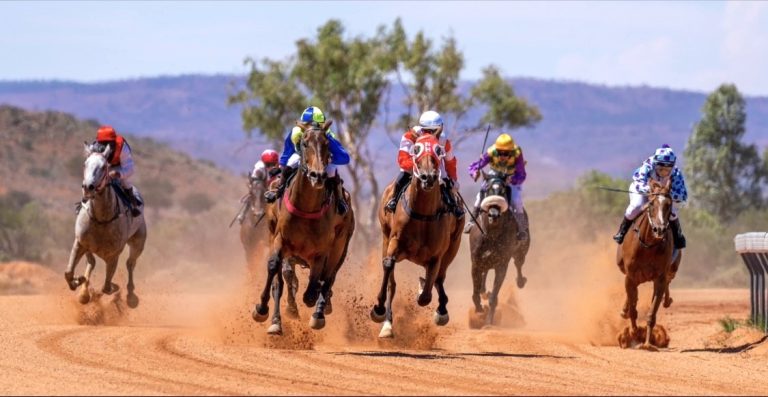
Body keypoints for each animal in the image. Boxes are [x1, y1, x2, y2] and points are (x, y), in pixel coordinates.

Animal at [64, 142, 147, 306]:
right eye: (85, 164)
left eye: (104, 167)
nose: (88, 187)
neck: (101, 219)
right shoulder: (80, 243)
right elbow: (68, 273)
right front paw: (79, 281)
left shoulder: (113, 255)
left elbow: (107, 287)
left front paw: (115, 288)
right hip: (90, 249)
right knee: (91, 263)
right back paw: (84, 292)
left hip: (138, 243)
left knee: (130, 263)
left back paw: (130, 295)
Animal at [255, 120, 356, 334]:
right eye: (304, 143)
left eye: (327, 144)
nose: (317, 175)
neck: (307, 208)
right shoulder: (280, 240)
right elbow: (275, 270)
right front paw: (263, 310)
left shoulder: (322, 252)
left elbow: (314, 287)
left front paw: (316, 306)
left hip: (340, 246)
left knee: (328, 278)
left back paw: (319, 313)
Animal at [372, 133, 462, 338]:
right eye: (416, 149)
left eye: (438, 149)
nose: (428, 177)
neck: (423, 214)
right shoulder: (395, 242)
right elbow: (388, 267)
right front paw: (378, 310)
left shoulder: (437, 255)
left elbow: (427, 294)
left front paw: (428, 296)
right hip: (385, 237)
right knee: (392, 281)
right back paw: (387, 324)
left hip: (454, 246)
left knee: (439, 278)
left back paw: (441, 310)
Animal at [468, 169, 528, 326]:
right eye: (487, 190)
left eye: (502, 191)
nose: (493, 214)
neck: (492, 234)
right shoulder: (476, 262)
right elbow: (475, 293)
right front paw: (479, 310)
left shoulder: (502, 264)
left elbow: (494, 297)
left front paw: (488, 323)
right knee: (484, 274)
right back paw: (483, 291)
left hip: (522, 250)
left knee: (519, 263)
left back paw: (521, 281)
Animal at [616, 178, 680, 348]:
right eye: (651, 203)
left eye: (669, 204)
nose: (659, 229)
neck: (648, 245)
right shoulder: (630, 276)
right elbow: (633, 309)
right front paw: (633, 333)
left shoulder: (660, 278)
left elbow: (652, 313)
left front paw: (647, 344)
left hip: (672, 269)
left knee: (668, 282)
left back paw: (667, 300)